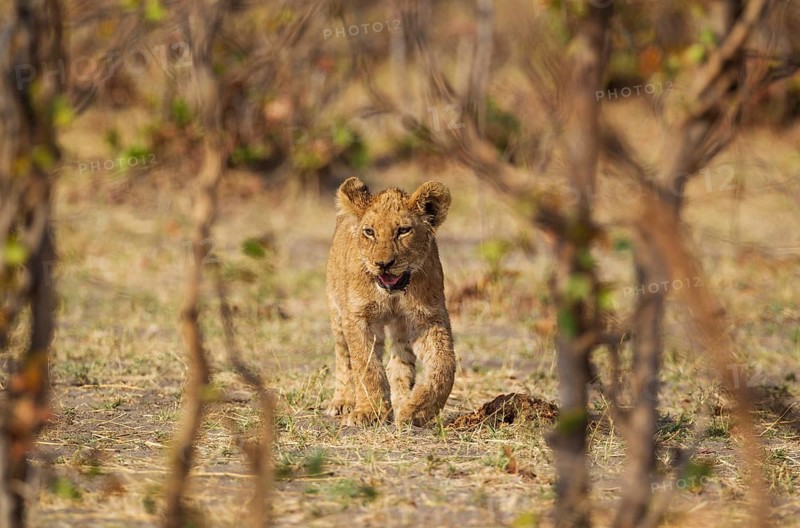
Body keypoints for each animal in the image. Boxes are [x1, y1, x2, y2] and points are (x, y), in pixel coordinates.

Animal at [325, 176, 456, 426]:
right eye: (369, 232)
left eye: (403, 231)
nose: (383, 264)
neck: (392, 294)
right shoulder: (358, 317)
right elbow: (366, 365)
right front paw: (369, 412)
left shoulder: (429, 317)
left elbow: (444, 365)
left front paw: (417, 410)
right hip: (336, 312)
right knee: (343, 356)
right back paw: (343, 401)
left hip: (401, 327)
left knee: (400, 363)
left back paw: (402, 400)